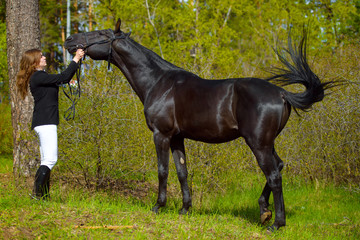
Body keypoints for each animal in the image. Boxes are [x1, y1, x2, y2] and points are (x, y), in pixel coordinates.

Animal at [64, 19, 334, 231]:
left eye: (100, 34)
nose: (69, 40)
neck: (158, 83)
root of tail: (281, 93)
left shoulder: (161, 135)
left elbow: (163, 170)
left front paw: (158, 206)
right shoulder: (177, 137)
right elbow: (182, 171)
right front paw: (185, 209)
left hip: (258, 143)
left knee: (274, 175)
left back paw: (276, 223)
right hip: (267, 142)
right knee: (278, 167)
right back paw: (265, 212)